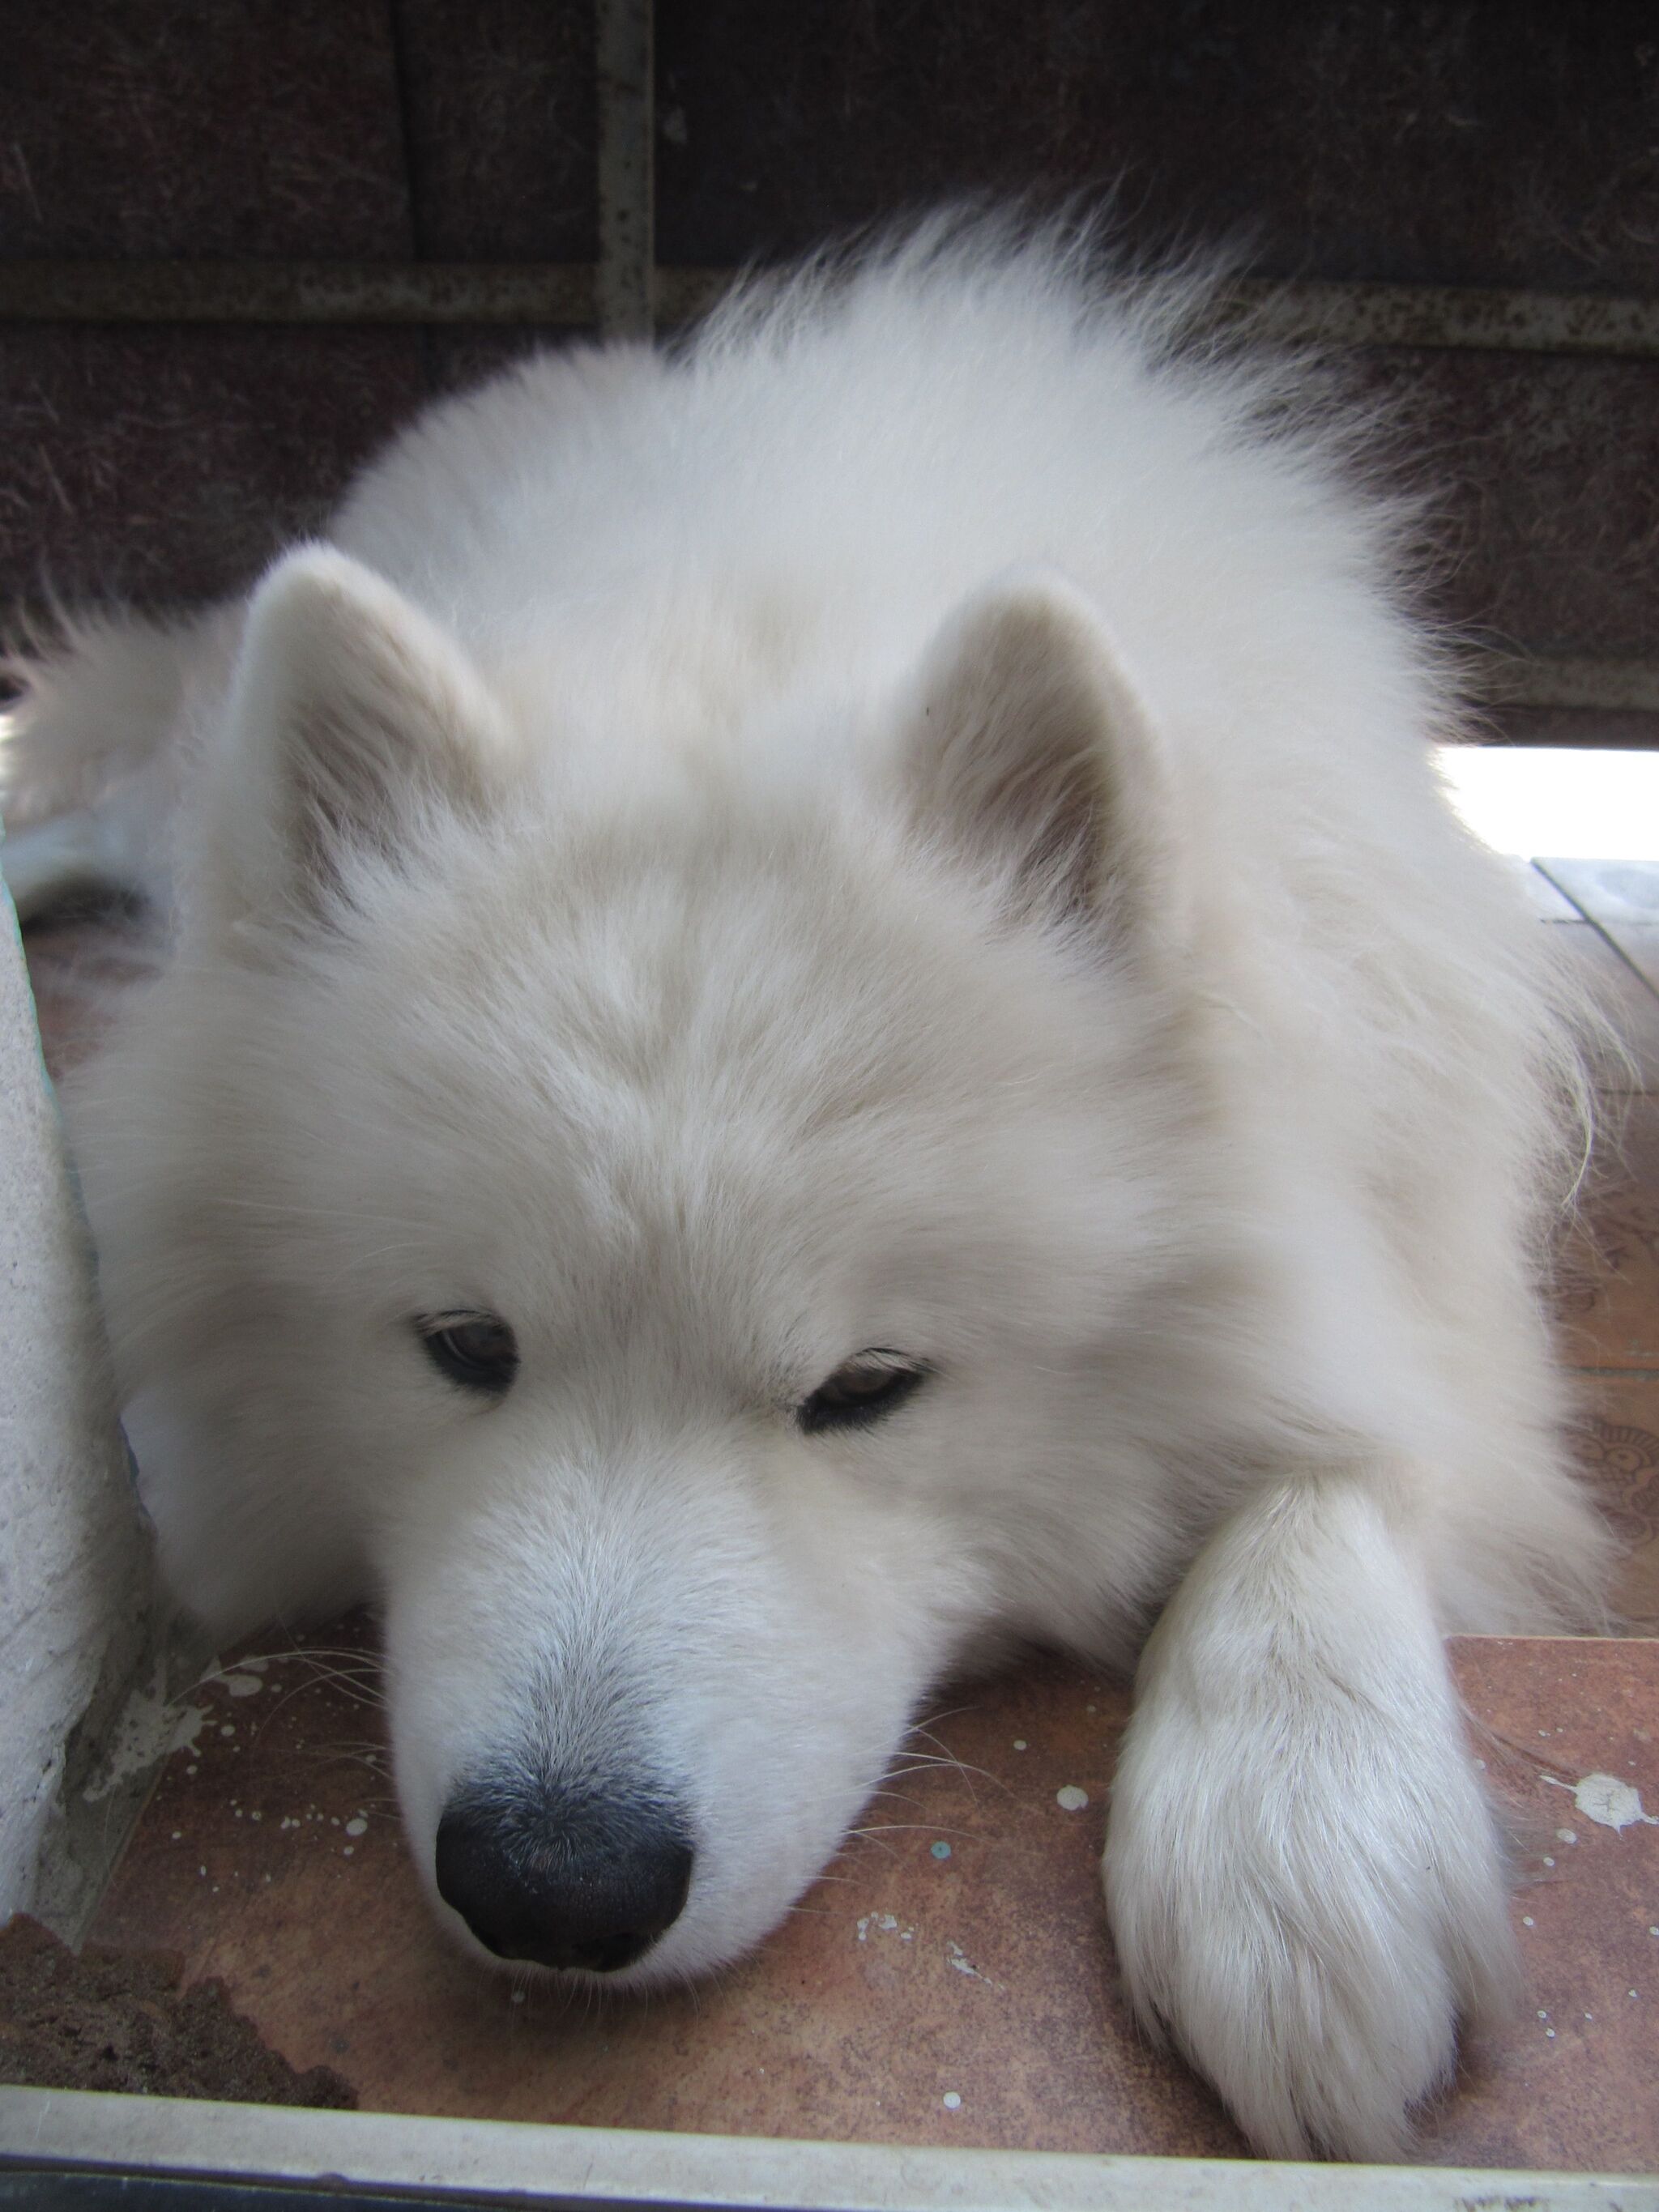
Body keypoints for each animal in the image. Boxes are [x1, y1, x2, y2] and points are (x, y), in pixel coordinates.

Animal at [0, 219, 1610, 2159]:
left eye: (867, 1388)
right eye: (462, 1344)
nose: (554, 1882)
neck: (791, 617)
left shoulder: (1426, 1270)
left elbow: (1344, 1469)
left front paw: (1298, 1844)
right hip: (191, 788)